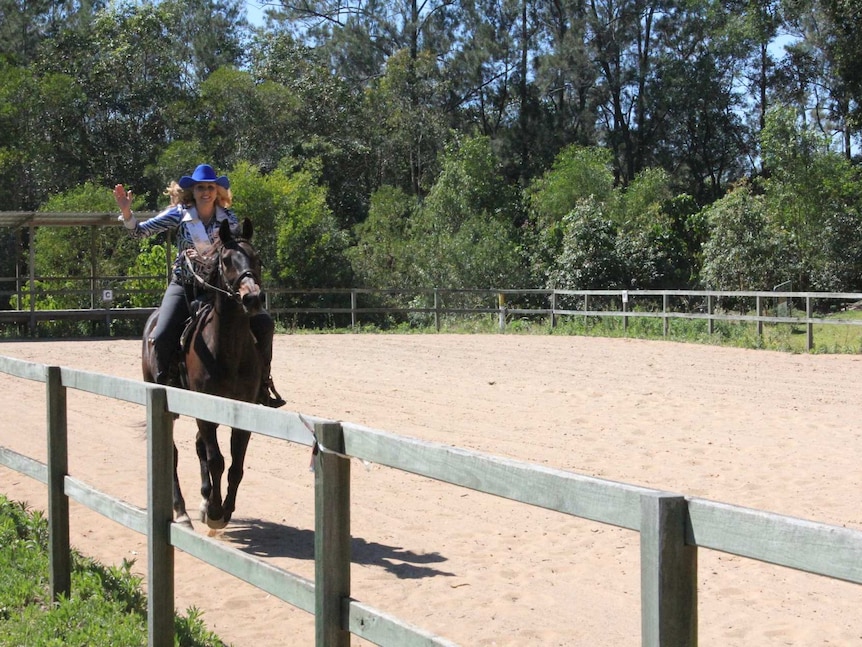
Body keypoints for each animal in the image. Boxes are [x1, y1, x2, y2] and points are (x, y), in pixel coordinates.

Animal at [142, 219, 264, 532]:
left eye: (256, 258)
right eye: (226, 260)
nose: (253, 297)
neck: (226, 349)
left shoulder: (243, 409)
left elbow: (235, 465)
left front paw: (223, 508)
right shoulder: (205, 409)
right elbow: (217, 459)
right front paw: (216, 512)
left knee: (198, 447)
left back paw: (203, 500)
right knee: (173, 453)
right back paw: (182, 512)